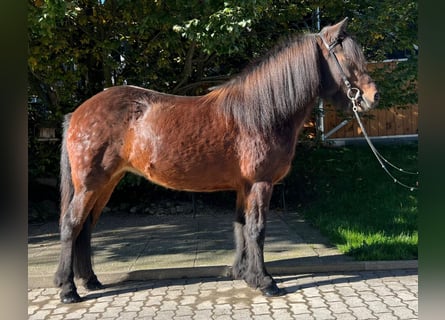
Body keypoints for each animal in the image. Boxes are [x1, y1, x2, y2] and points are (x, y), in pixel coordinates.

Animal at [53, 18, 378, 304]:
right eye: (346, 57)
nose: (372, 96)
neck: (263, 113)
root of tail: (78, 112)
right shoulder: (261, 183)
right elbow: (257, 229)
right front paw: (266, 282)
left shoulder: (244, 186)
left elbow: (241, 227)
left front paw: (245, 275)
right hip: (90, 185)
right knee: (71, 224)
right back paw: (69, 290)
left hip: (106, 183)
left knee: (86, 227)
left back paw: (90, 280)